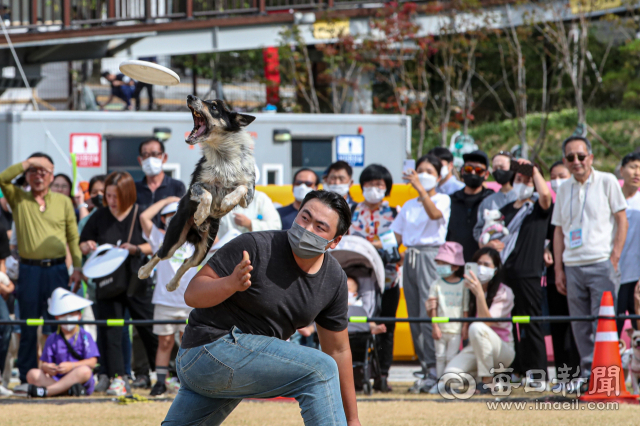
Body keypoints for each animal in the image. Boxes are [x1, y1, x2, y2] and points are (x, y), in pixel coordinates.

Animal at [139, 95, 256, 292]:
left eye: (214, 106)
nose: (190, 96)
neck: (223, 156)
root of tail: (194, 234)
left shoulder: (248, 197)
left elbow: (241, 188)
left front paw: (227, 201)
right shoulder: (196, 186)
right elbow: (207, 194)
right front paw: (201, 214)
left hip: (204, 249)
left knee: (187, 262)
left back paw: (172, 284)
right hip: (174, 237)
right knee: (160, 253)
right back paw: (144, 271)